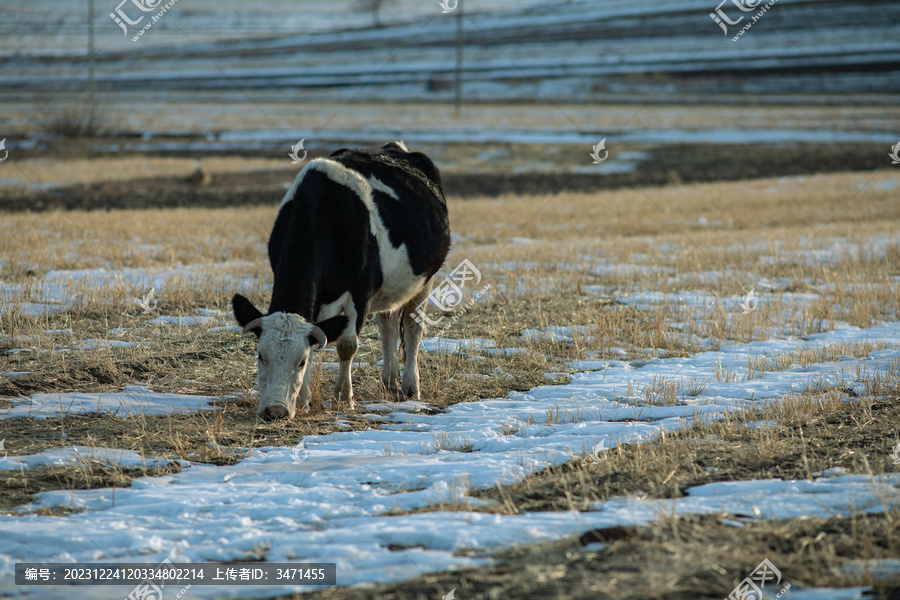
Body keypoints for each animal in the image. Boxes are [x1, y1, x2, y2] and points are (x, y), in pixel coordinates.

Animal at [232, 141, 450, 422]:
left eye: (300, 361)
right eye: (260, 356)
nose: (275, 411)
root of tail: (395, 146)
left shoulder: (361, 292)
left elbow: (347, 345)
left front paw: (343, 397)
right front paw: (303, 400)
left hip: (424, 281)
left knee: (414, 328)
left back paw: (410, 387)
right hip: (391, 288)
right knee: (388, 324)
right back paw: (389, 382)